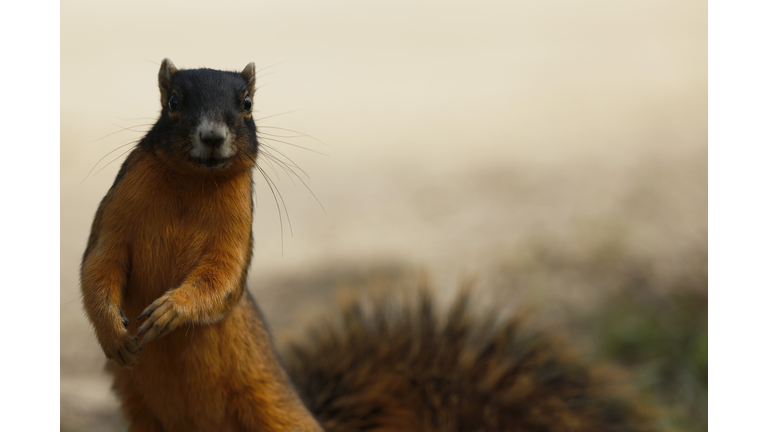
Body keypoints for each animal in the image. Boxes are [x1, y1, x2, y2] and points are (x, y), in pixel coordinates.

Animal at [84, 60, 656, 432]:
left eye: (247, 104)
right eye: (173, 102)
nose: (212, 137)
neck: (190, 187)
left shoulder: (235, 231)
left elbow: (219, 281)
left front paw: (171, 311)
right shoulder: (116, 214)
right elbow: (98, 268)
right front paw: (114, 333)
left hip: (275, 412)